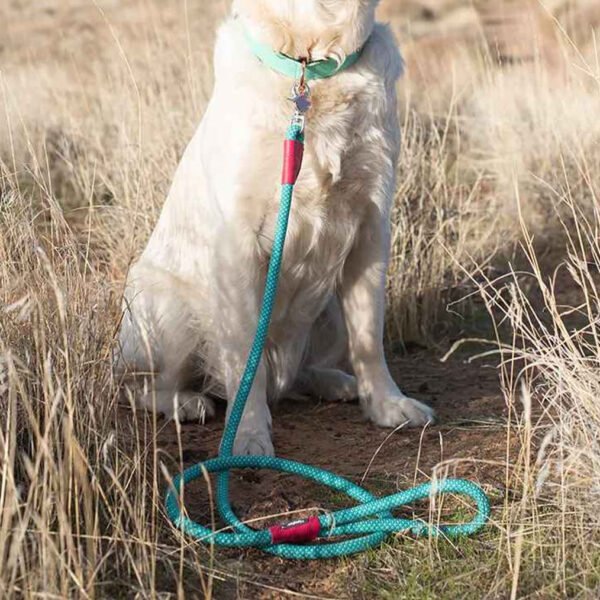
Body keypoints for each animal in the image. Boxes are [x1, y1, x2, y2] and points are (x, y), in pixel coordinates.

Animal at [117, 0, 436, 454]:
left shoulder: (371, 226)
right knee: (136, 386)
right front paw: (247, 435)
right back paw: (184, 402)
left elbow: (369, 337)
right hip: (171, 311)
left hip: (328, 307)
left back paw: (335, 382)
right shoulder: (238, 244)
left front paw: (387, 404)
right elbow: (245, 361)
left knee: (300, 372)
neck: (311, 66)